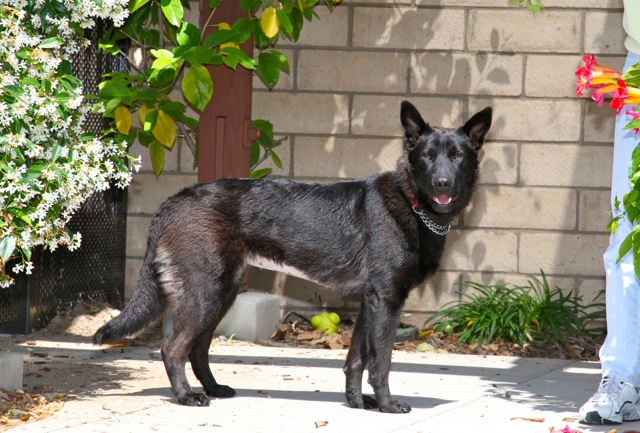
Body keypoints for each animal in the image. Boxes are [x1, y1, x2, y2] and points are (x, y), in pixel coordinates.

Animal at [94, 100, 490, 412]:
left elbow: (356, 360)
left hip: (221, 295)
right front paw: (387, 405)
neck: (412, 204)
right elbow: (381, 362)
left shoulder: (370, 303)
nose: (442, 184)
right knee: (173, 347)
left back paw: (213, 389)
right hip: (204, 294)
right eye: (427, 157)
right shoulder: (387, 301)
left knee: (197, 349)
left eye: (457, 156)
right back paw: (185, 397)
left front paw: (358, 403)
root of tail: (175, 200)